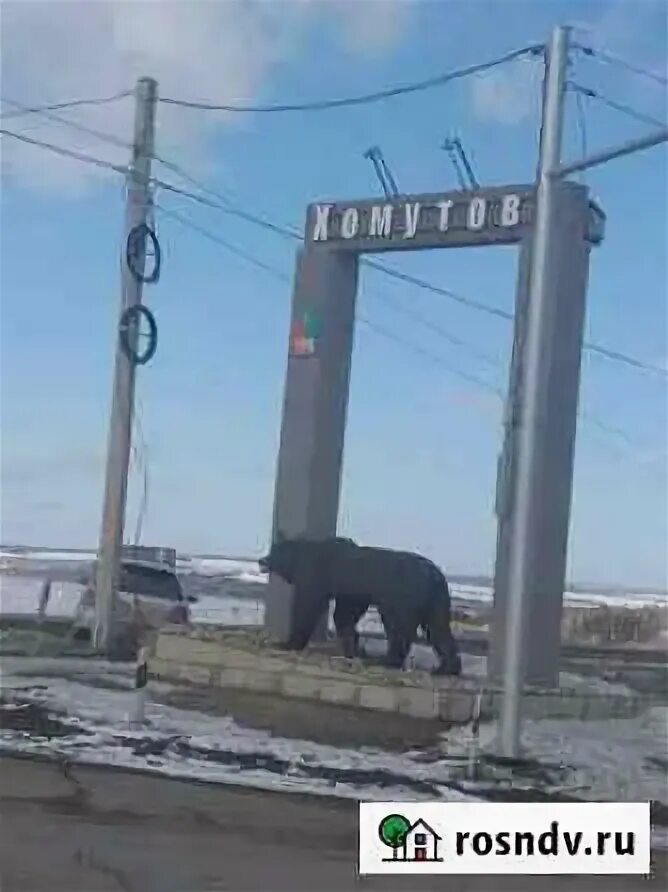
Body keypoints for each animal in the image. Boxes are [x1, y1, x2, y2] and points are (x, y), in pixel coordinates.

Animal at [258, 536, 462, 676]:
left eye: (275, 550)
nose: (262, 560)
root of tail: (435, 574)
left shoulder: (318, 575)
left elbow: (309, 604)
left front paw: (287, 643)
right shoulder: (350, 590)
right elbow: (346, 613)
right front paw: (353, 648)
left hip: (403, 594)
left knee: (399, 626)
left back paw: (387, 660)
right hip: (435, 600)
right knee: (438, 628)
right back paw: (446, 668)